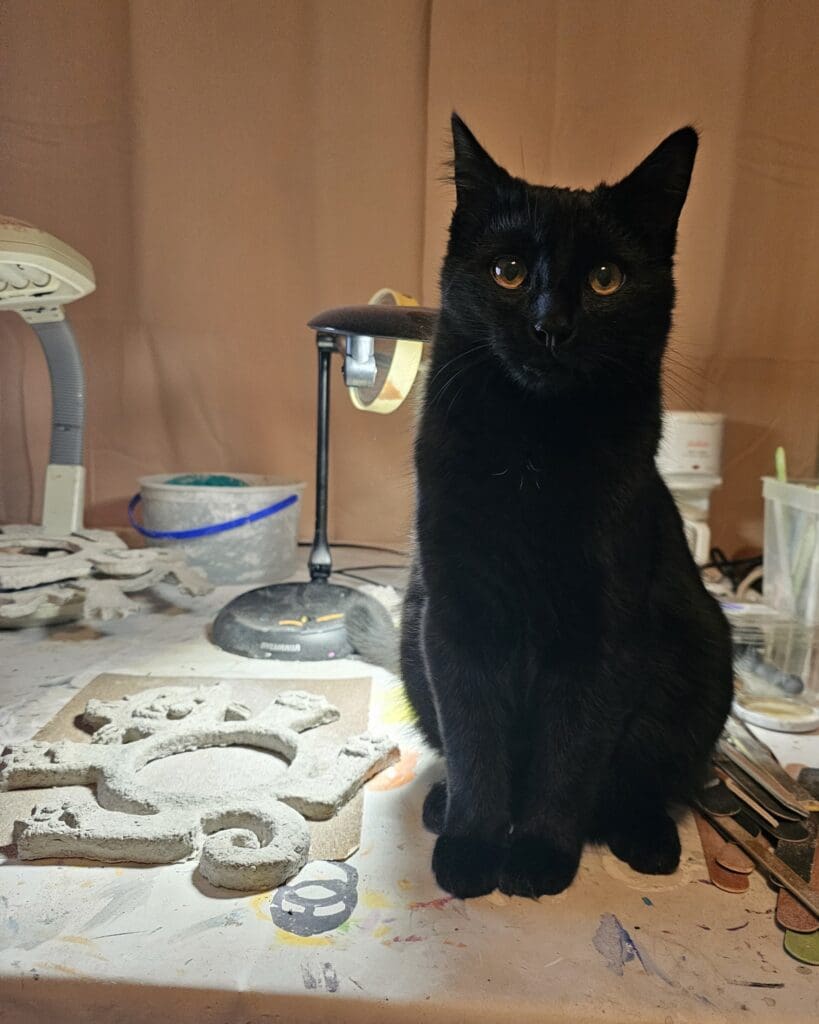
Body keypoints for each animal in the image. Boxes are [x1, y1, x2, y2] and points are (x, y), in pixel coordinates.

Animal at [348, 116, 733, 901]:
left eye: (605, 278)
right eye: (508, 272)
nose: (550, 325)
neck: (530, 451)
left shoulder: (602, 632)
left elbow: (568, 752)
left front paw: (538, 856)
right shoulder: (454, 619)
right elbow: (475, 741)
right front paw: (470, 845)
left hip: (707, 658)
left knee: (644, 780)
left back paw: (644, 837)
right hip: (413, 638)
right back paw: (440, 805)